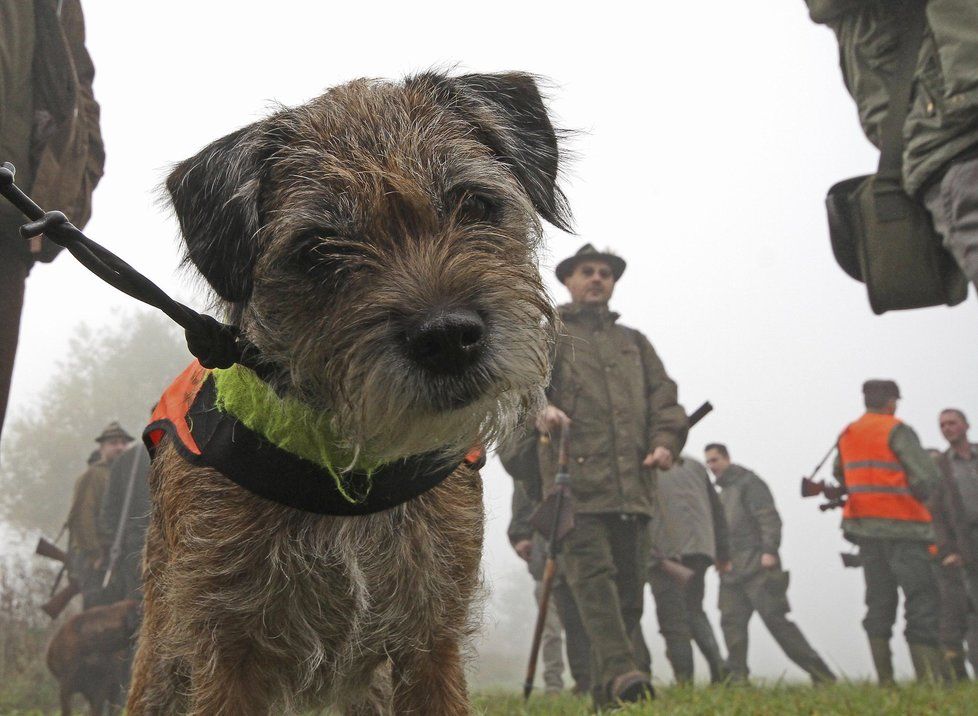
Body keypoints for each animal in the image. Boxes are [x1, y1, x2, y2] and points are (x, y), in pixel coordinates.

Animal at [131, 70, 572, 712]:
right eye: (319, 249)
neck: (346, 467)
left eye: (474, 203)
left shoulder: (430, 644)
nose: (447, 337)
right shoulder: (226, 651)